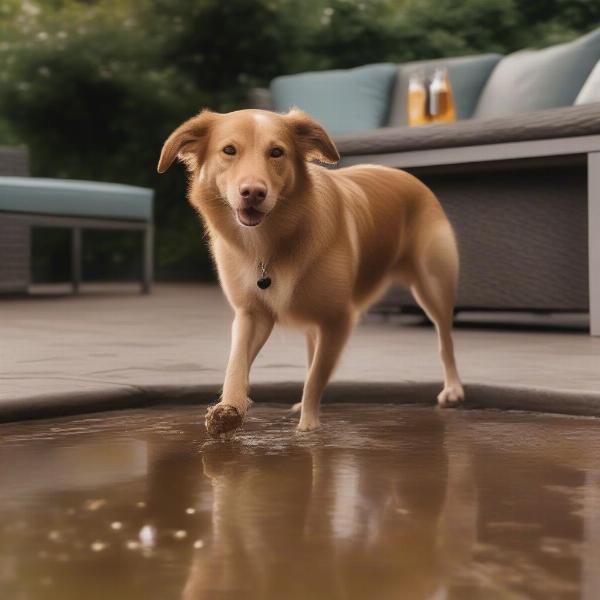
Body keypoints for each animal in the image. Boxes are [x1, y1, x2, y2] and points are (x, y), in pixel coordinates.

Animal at [156, 109, 464, 436]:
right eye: (229, 150)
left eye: (276, 152)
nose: (253, 192)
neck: (269, 244)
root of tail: (409, 177)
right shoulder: (252, 314)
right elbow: (236, 364)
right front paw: (229, 410)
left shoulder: (337, 320)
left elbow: (316, 378)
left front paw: (308, 428)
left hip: (433, 286)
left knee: (445, 339)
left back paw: (453, 389)